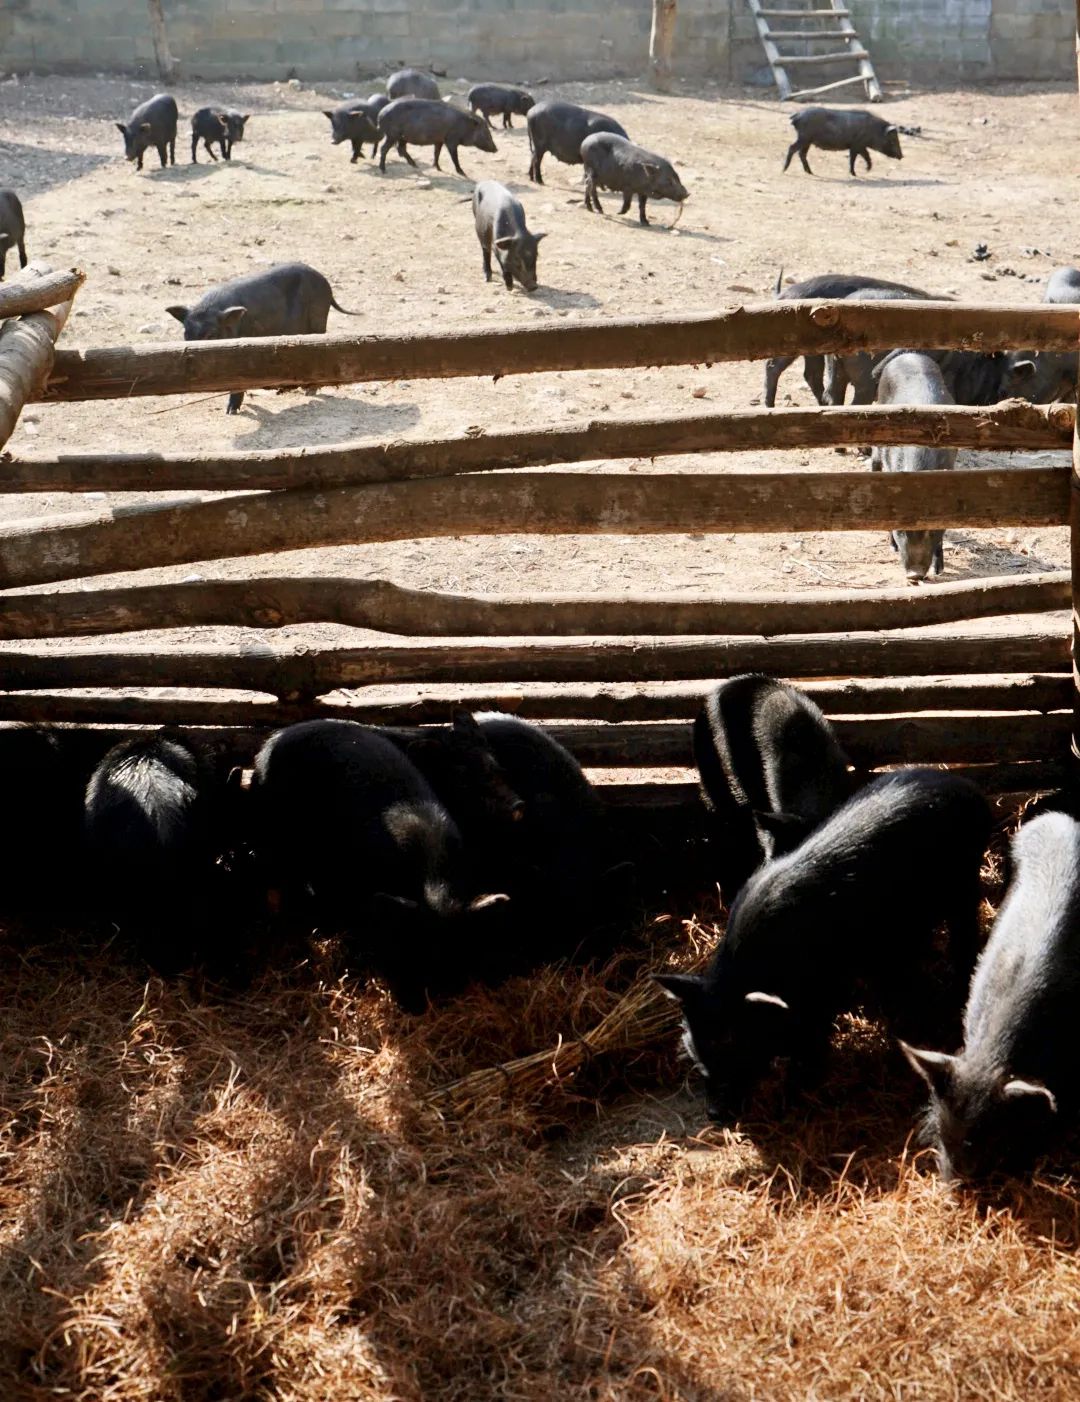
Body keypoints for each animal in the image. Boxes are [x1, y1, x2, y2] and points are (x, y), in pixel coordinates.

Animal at [650, 762, 987, 1121]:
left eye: (735, 1042)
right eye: (695, 1045)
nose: (715, 1114)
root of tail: (968, 786)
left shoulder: (824, 987)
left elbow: (811, 1036)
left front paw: (793, 1094)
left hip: (964, 884)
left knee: (965, 937)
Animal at [864, 356, 953, 591]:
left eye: (931, 529)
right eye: (902, 530)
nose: (915, 575)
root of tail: (908, 355)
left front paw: (939, 570)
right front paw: (893, 546)